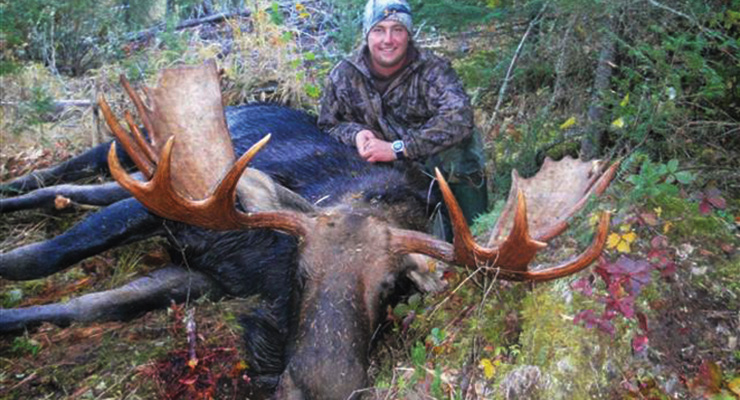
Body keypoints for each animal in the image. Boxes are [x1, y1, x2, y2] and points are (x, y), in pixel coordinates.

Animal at [0, 61, 612, 398]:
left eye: (392, 290)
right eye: (300, 269)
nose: (320, 388)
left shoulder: (206, 278)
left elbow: (89, 307)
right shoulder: (170, 208)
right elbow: (44, 258)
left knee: (78, 192)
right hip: (142, 155)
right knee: (71, 175)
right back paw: (21, 187)